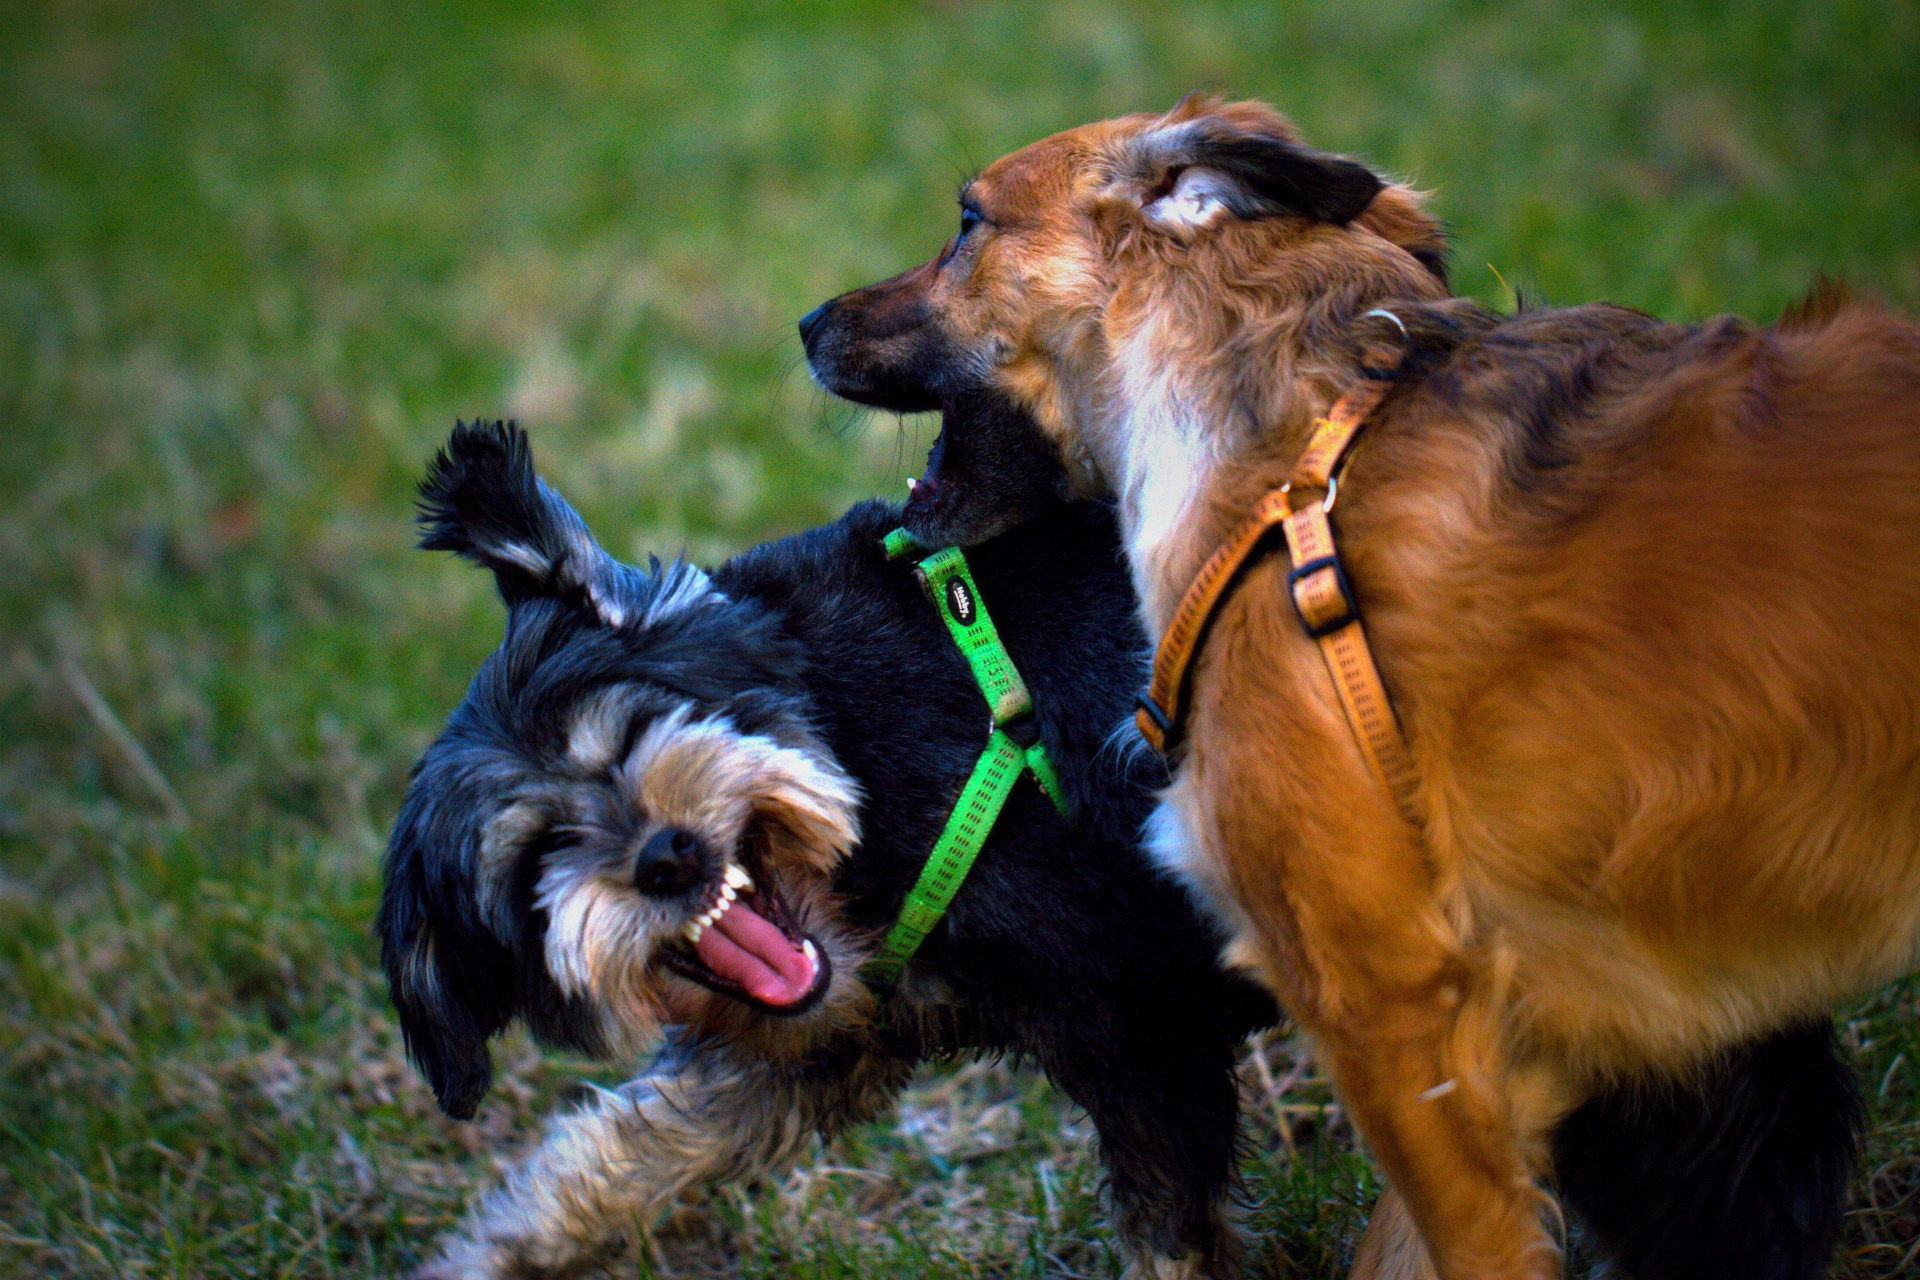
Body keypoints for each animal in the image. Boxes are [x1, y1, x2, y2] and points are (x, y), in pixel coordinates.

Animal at [378, 422, 1858, 1280]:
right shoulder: (817, 1041)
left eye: (635, 732)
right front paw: (486, 1260)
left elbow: (1167, 1233)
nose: (672, 860)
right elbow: (614, 1160)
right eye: (535, 858)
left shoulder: (1138, 1034)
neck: (843, 723)